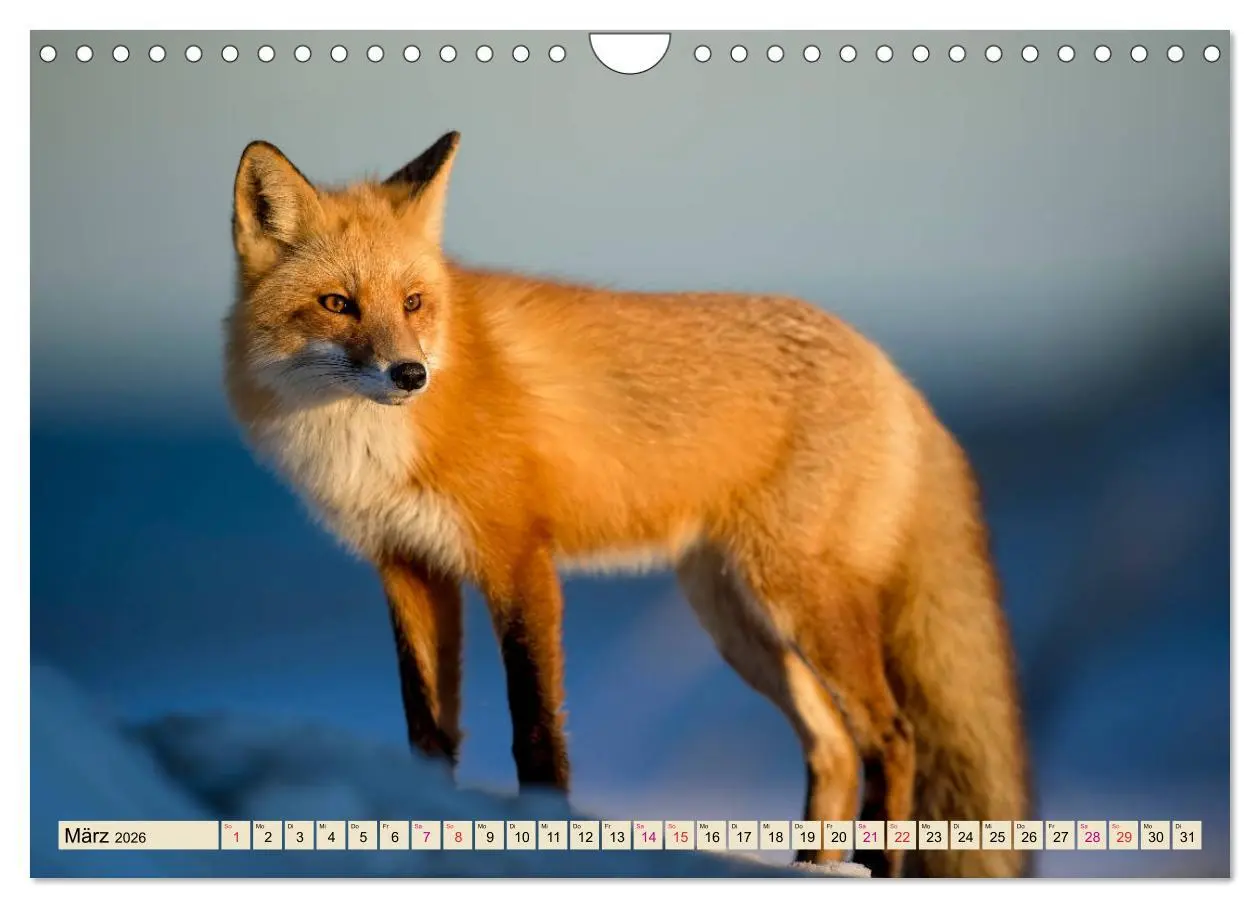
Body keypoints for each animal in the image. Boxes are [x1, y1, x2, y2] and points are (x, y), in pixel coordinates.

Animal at [223, 131, 1031, 877]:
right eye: (337, 304)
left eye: (414, 303)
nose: (410, 374)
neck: (370, 446)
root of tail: (892, 370)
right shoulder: (408, 565)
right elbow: (428, 730)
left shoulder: (518, 559)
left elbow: (536, 729)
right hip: (736, 619)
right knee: (832, 745)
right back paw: (813, 868)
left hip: (800, 598)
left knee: (892, 737)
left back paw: (876, 868)